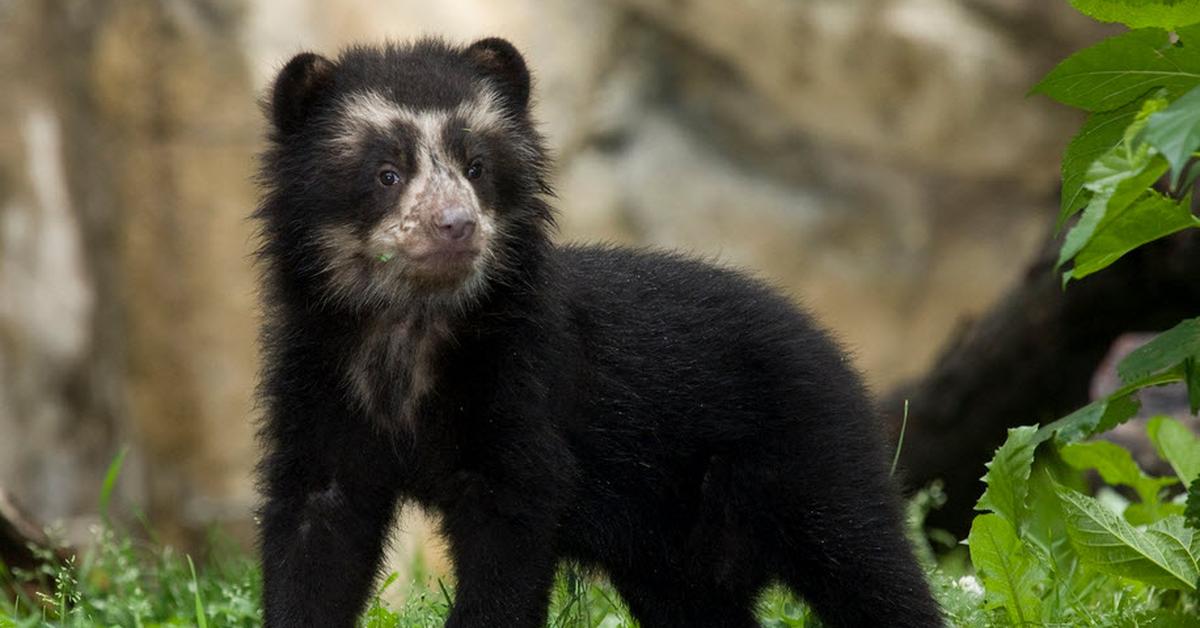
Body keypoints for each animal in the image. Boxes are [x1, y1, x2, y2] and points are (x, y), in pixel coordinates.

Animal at [255, 38, 945, 628]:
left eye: (477, 167)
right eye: (386, 173)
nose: (456, 225)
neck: (412, 327)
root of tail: (831, 345)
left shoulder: (517, 386)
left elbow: (513, 528)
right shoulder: (318, 383)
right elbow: (315, 530)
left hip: (807, 455)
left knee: (867, 566)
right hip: (680, 544)